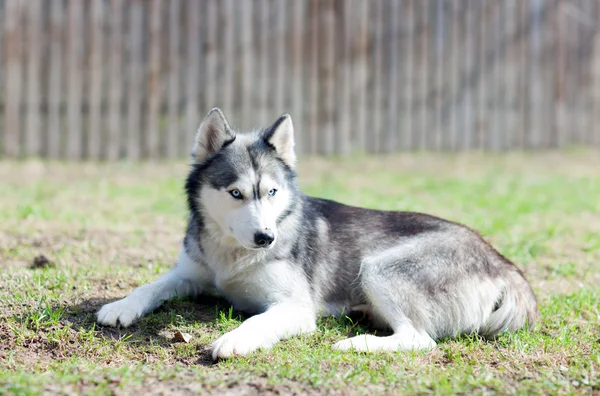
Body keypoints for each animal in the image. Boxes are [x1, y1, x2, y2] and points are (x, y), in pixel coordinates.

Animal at [97, 108, 540, 358]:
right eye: (236, 193)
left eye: (272, 192)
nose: (266, 238)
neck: (232, 256)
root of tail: (505, 264)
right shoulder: (190, 273)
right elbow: (153, 285)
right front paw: (122, 305)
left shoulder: (294, 307)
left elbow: (257, 322)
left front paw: (235, 339)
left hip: (379, 267)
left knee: (419, 339)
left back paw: (357, 343)